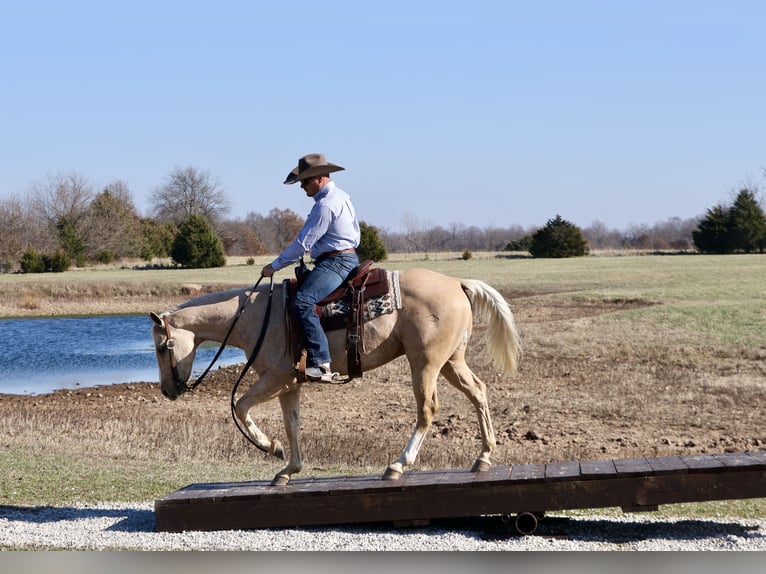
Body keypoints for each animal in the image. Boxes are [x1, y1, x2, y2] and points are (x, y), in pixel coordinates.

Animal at [150, 268, 520, 486]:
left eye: (162, 347)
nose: (167, 390)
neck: (255, 315)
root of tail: (457, 283)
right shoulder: (290, 385)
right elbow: (293, 424)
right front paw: (288, 469)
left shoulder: (277, 378)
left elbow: (240, 407)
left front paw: (271, 448)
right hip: (450, 362)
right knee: (478, 392)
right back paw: (483, 457)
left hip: (426, 362)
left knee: (427, 410)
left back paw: (397, 465)